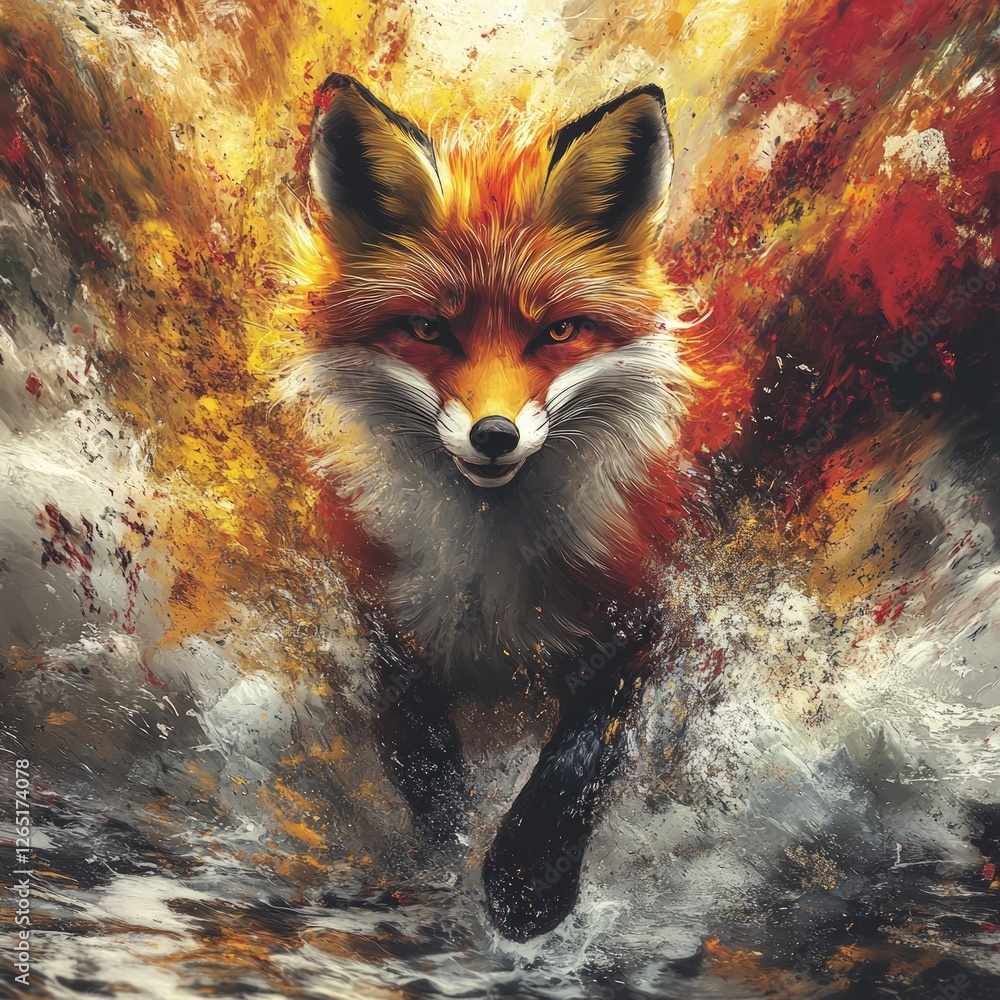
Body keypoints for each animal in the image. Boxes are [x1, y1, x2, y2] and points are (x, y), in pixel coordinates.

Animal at [281, 74, 703, 941]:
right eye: (428, 329)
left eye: (560, 331)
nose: (496, 435)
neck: (491, 561)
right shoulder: (382, 615)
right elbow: (424, 751)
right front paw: (444, 852)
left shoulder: (643, 610)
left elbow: (578, 758)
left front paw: (527, 881)